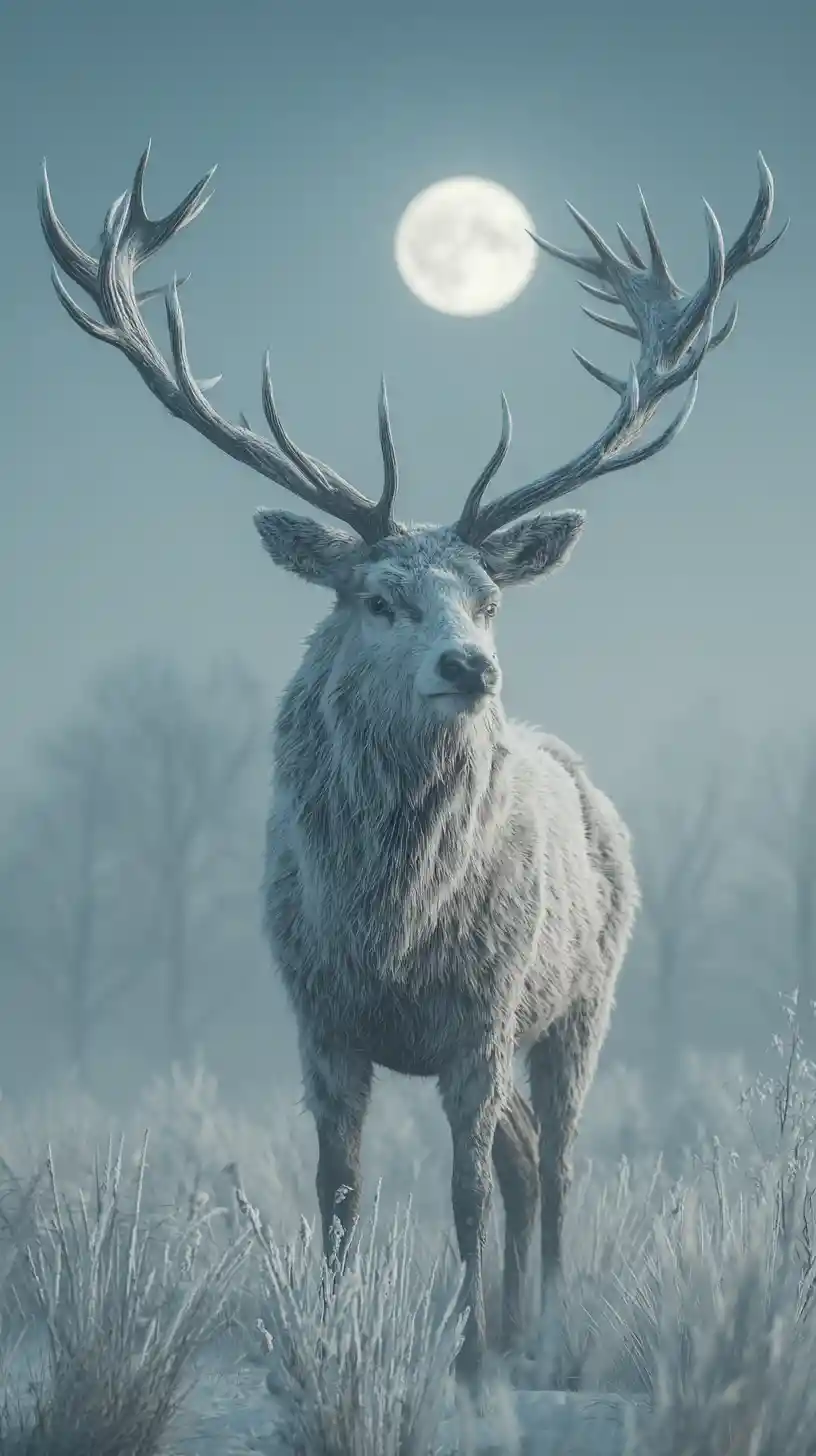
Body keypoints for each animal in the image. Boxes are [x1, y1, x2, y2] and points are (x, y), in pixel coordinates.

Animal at [39, 145, 784, 1386]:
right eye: (378, 596)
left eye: (488, 597)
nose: (471, 665)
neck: (389, 927)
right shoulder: (321, 1019)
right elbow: (340, 1193)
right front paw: (337, 1336)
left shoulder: (478, 1017)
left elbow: (465, 1195)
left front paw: (468, 1352)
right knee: (528, 1159)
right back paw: (525, 1325)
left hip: (584, 1000)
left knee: (555, 1162)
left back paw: (545, 1333)